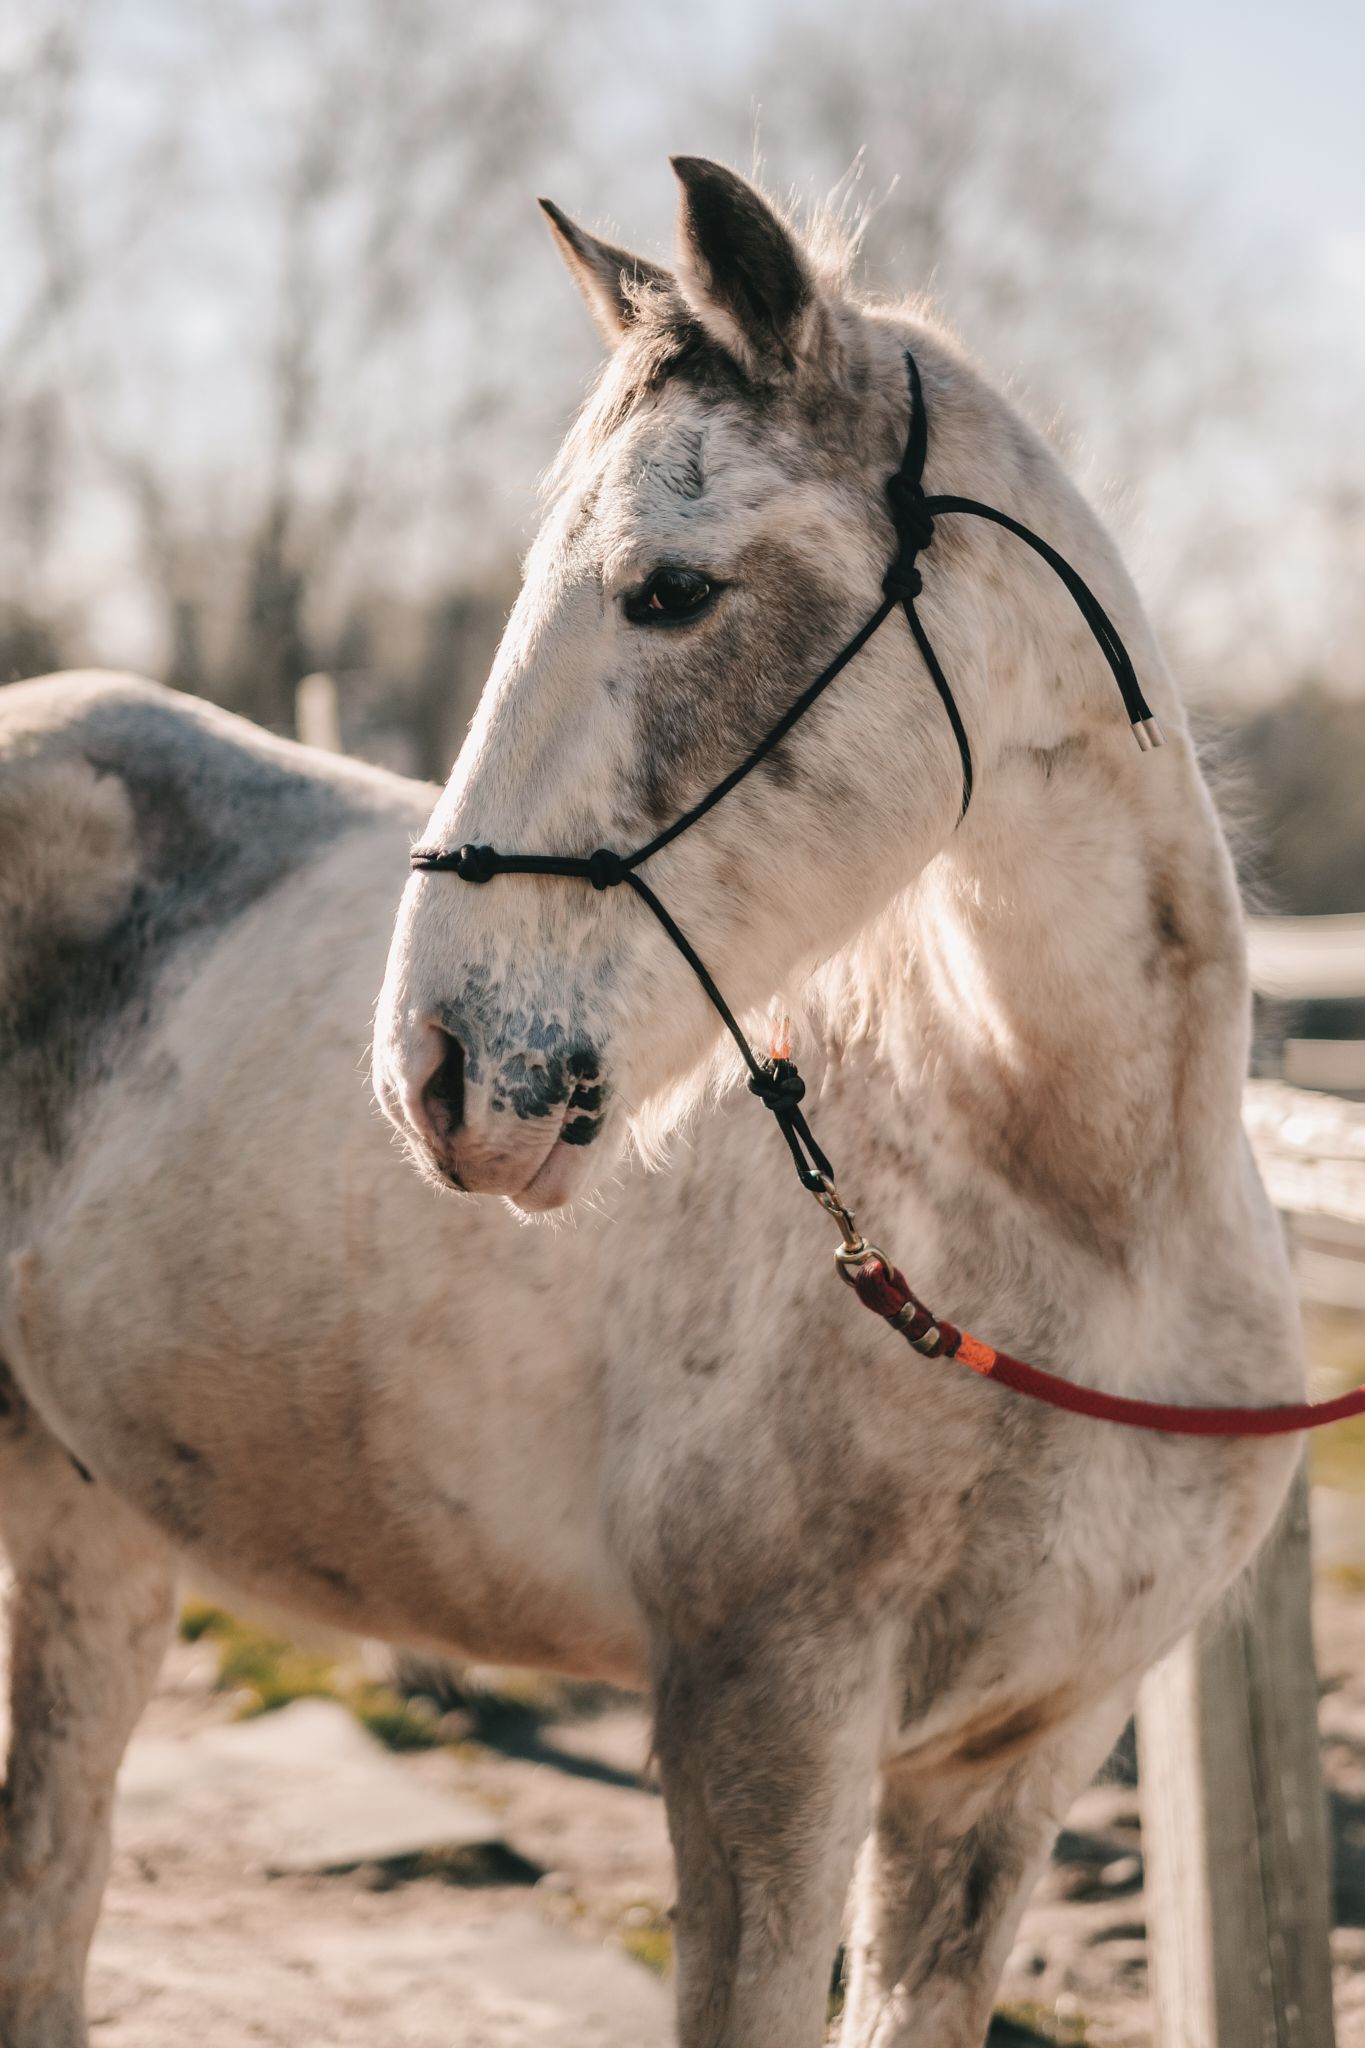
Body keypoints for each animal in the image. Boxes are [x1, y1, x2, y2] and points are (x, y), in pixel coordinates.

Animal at [0, 158, 1299, 2048]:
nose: (434, 1070)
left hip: (82, 1516)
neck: (1090, 1225)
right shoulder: (766, 1738)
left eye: (671, 592)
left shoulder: (1013, 1768)